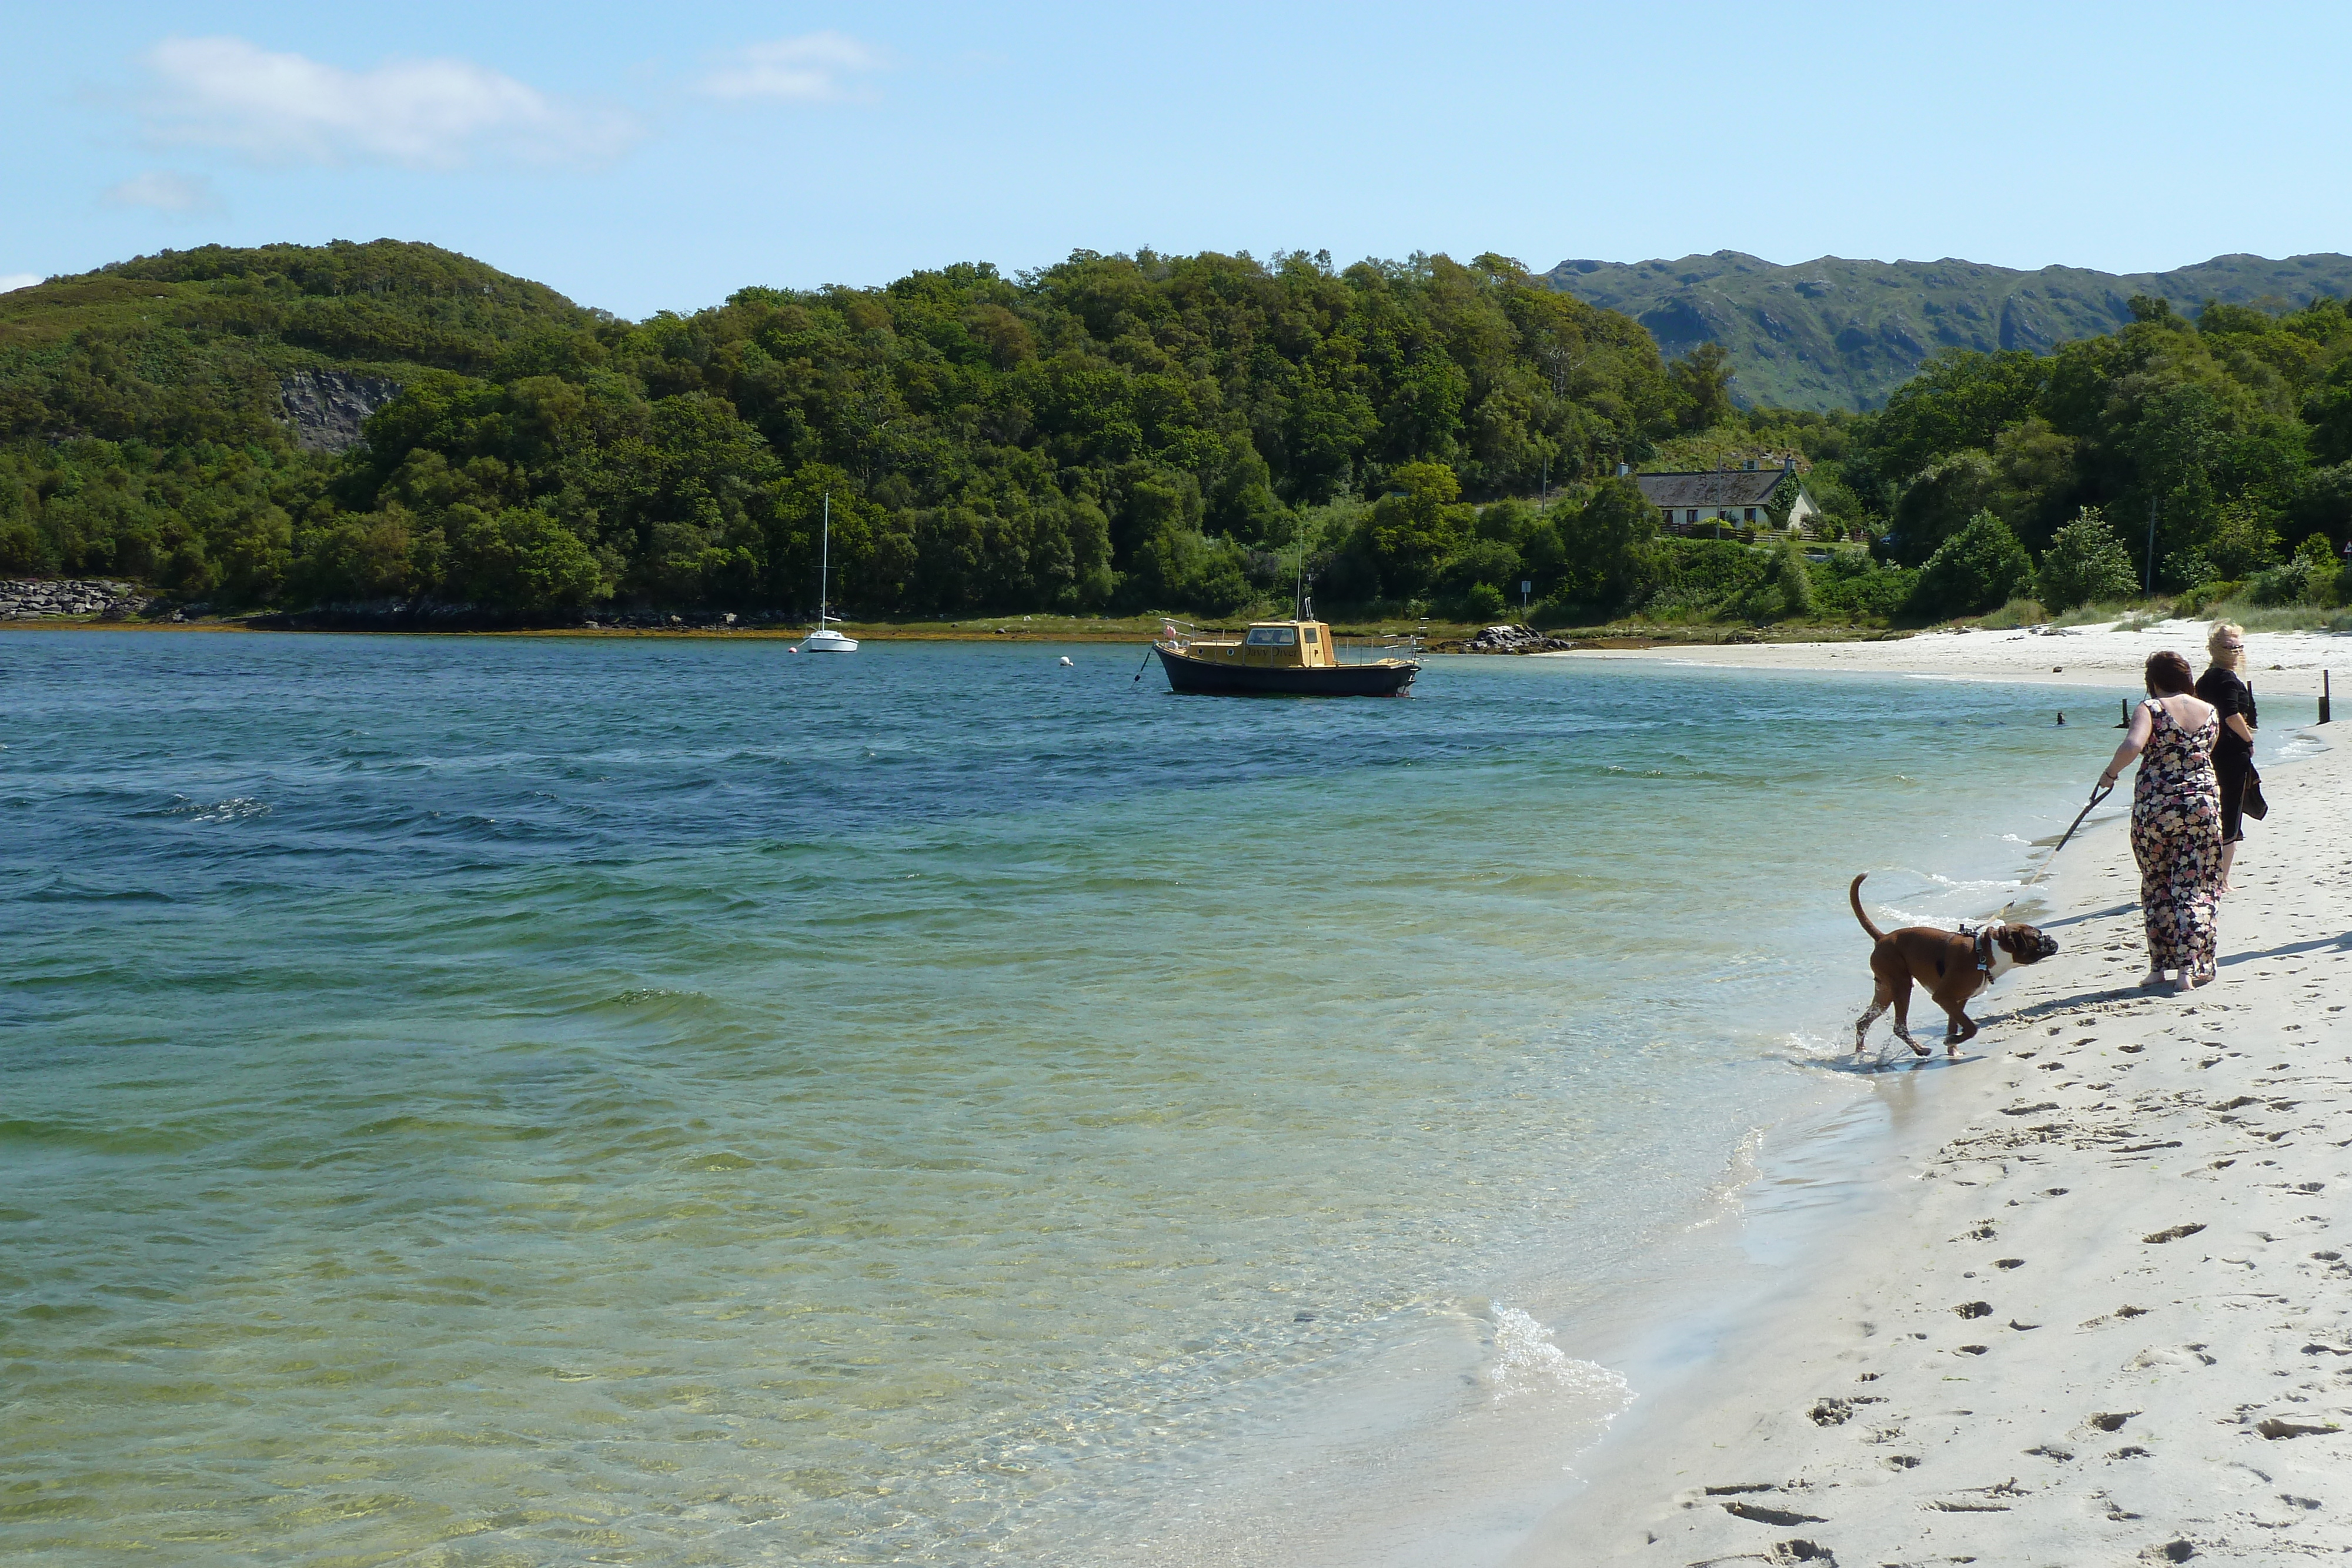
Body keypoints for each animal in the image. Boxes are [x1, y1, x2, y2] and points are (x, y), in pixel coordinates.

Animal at [1853, 870, 2060, 1053]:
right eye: (2039, 938)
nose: (2052, 939)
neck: (1984, 954)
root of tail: (1882, 938)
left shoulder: (1958, 1001)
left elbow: (1955, 1025)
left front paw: (1953, 1048)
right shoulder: (1944, 997)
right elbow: (1971, 1027)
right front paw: (1952, 1042)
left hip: (1885, 991)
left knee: (1863, 1022)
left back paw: (1861, 1052)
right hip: (1901, 987)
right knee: (1899, 1026)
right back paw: (1920, 1051)